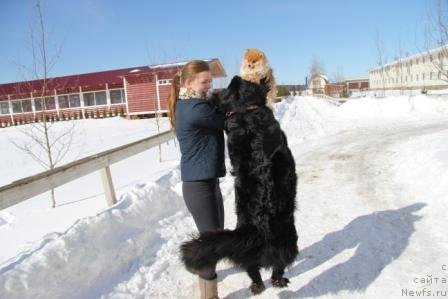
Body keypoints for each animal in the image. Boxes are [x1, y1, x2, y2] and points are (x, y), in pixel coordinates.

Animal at [180, 77, 300, 296]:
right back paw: (276, 281)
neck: (247, 110)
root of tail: (258, 228)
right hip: (289, 240)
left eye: (224, 91)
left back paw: (261, 285)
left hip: (258, 249)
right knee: (274, 268)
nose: (211, 93)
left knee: (257, 270)